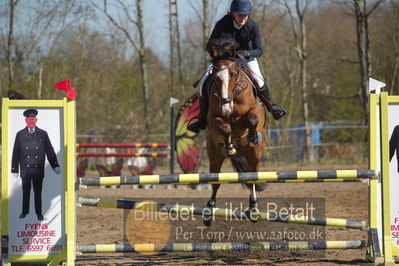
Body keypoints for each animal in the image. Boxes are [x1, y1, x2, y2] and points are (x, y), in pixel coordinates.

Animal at [205, 38, 268, 225]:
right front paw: (230, 146)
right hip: (214, 156)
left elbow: (253, 118)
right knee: (215, 182)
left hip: (255, 156)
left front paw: (253, 136)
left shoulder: (254, 109)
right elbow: (224, 127)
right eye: (214, 77)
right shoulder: (213, 118)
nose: (226, 107)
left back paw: (254, 208)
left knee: (252, 177)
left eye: (233, 74)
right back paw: (209, 211)